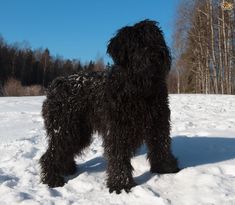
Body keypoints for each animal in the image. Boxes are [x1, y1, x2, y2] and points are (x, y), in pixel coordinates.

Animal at [39, 19, 179, 194]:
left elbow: (161, 145)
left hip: (78, 132)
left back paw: (67, 169)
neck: (138, 89)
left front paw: (166, 168)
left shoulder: (158, 122)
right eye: (137, 43)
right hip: (65, 128)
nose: (157, 54)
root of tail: (55, 85)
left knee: (64, 151)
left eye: (156, 38)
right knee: (50, 154)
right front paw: (121, 184)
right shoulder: (117, 129)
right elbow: (119, 156)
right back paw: (53, 179)